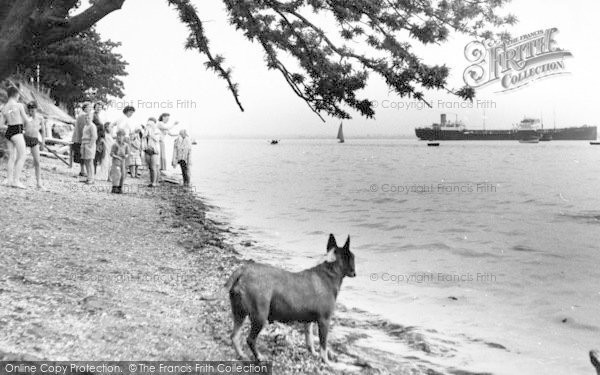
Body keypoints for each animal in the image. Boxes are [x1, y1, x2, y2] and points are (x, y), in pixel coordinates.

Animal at [226, 235, 356, 364]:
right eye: (353, 258)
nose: (355, 273)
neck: (329, 271)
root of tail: (243, 271)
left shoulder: (308, 322)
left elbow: (309, 341)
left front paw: (313, 353)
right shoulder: (324, 321)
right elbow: (323, 345)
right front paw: (325, 361)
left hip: (239, 313)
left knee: (234, 336)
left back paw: (241, 355)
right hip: (260, 316)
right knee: (250, 339)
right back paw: (259, 357)